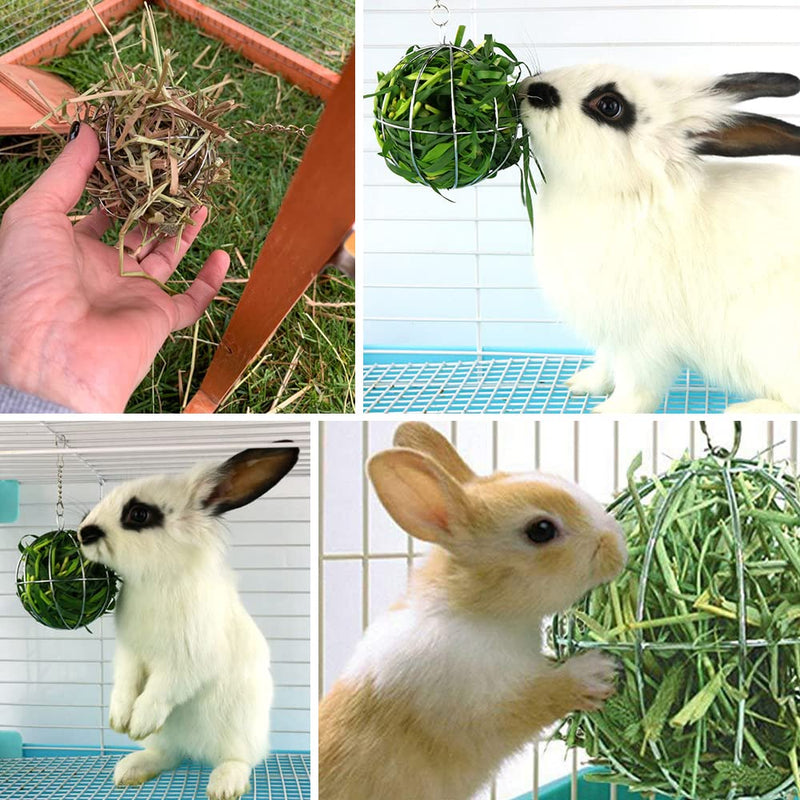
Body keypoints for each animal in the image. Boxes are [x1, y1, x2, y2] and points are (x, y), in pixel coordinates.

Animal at [77, 446, 299, 800]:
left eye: (139, 514)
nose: (83, 533)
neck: (154, 581)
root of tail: (197, 753)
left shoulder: (188, 660)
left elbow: (160, 691)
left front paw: (138, 722)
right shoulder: (128, 653)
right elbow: (125, 684)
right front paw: (120, 721)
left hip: (238, 732)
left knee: (240, 760)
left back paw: (223, 786)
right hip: (166, 739)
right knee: (168, 755)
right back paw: (129, 770)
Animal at [318, 422, 627, 800]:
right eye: (541, 530)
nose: (619, 546)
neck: (476, 612)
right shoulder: (483, 705)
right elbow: (540, 697)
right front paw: (598, 671)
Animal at [517, 67, 800, 413]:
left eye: (610, 105)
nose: (531, 89)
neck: (628, 193)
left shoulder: (643, 340)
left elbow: (636, 385)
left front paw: (610, 412)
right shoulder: (611, 331)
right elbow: (605, 362)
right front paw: (583, 384)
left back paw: (748, 410)